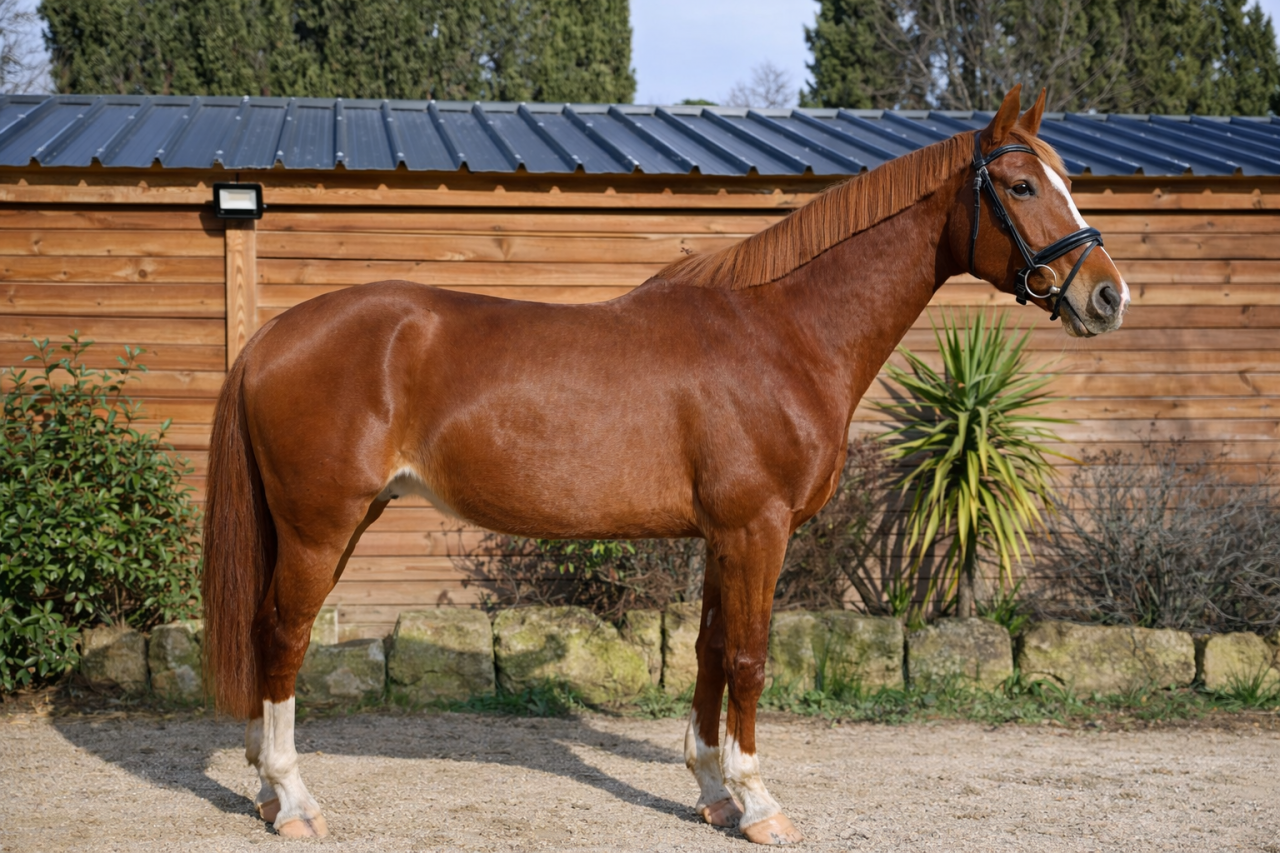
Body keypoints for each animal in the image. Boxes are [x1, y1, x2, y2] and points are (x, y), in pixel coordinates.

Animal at [201, 85, 1128, 844]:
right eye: (1021, 187)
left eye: (1064, 181)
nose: (1108, 296)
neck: (782, 333)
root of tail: (271, 336)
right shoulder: (758, 529)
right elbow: (749, 657)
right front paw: (760, 804)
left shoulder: (725, 535)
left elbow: (711, 650)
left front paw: (715, 793)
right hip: (320, 525)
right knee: (283, 634)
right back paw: (294, 800)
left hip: (342, 522)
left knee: (269, 635)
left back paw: (264, 789)